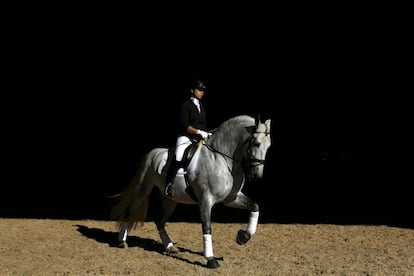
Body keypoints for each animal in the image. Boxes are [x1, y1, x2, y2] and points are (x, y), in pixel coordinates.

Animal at [109, 113, 272, 268]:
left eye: (268, 146)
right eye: (256, 143)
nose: (257, 176)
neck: (221, 159)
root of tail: (152, 153)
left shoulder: (231, 198)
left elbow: (254, 206)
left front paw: (243, 237)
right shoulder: (206, 200)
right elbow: (207, 227)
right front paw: (211, 260)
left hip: (171, 199)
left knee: (159, 221)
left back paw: (170, 247)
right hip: (143, 189)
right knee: (130, 211)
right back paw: (122, 241)